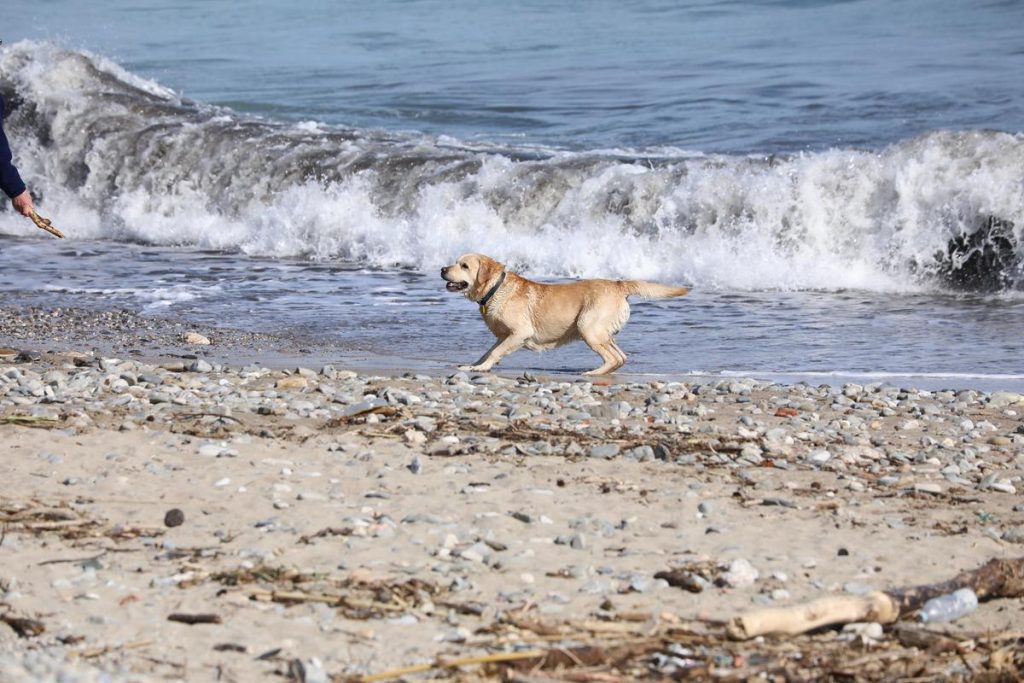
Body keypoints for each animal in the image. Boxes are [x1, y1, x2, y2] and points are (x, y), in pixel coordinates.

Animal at [440, 253, 688, 376]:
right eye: (455, 262)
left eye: (464, 266)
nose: (442, 269)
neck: (496, 288)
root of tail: (619, 285)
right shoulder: (503, 336)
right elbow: (487, 352)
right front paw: (472, 366)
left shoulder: (519, 333)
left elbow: (494, 353)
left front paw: (482, 368)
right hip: (604, 333)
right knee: (622, 356)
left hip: (587, 326)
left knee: (614, 358)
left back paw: (592, 373)